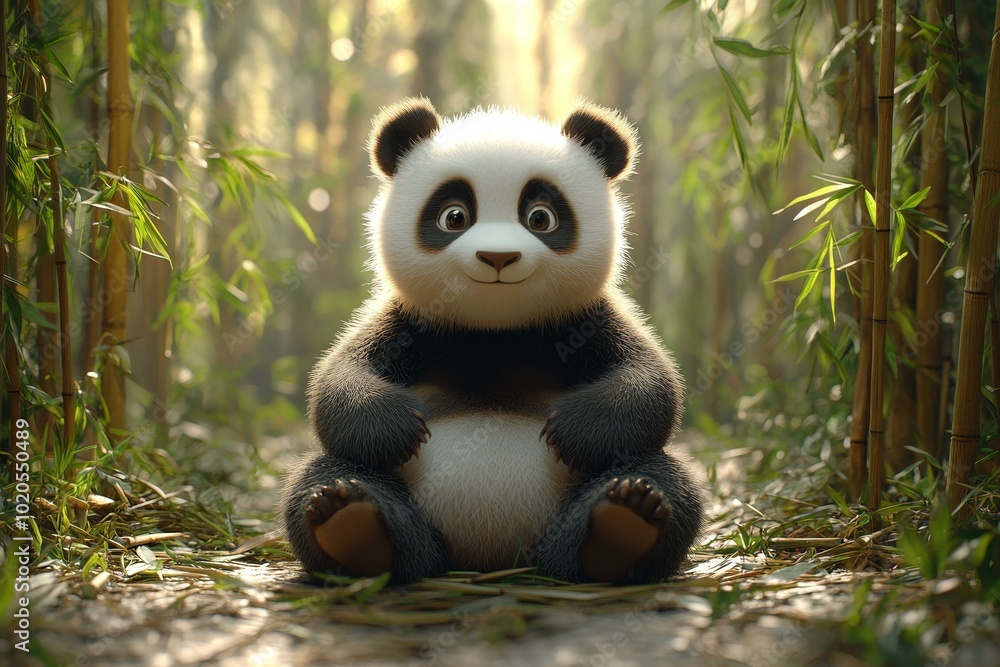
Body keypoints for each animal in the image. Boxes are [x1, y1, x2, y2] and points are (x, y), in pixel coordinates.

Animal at [280, 97, 704, 584]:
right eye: (454, 217)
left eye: (540, 217)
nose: (498, 257)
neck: (495, 331)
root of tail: (488, 556)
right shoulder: (413, 322)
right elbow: (337, 383)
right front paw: (397, 427)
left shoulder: (580, 320)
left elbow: (650, 383)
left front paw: (571, 431)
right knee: (322, 477)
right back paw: (351, 524)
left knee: (666, 480)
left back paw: (624, 522)